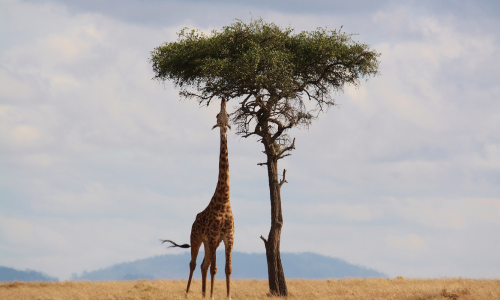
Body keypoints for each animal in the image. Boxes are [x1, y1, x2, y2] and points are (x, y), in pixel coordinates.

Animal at [163, 99, 235, 298]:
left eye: (228, 115)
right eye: (218, 115)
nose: (223, 100)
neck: (224, 200)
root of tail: (194, 221)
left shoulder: (228, 237)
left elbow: (227, 269)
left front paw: (227, 295)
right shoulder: (213, 236)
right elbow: (215, 269)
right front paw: (212, 296)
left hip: (210, 243)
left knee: (204, 265)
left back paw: (202, 294)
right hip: (196, 238)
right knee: (194, 264)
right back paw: (188, 293)